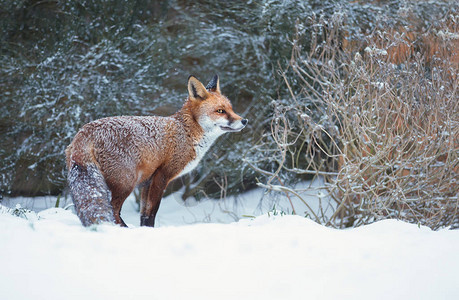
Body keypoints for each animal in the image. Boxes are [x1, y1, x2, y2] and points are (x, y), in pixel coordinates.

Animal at [65, 75, 248, 227]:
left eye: (231, 109)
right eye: (220, 111)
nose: (244, 121)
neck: (186, 132)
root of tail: (84, 131)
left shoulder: (147, 182)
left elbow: (144, 215)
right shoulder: (161, 176)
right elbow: (151, 213)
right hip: (125, 183)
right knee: (114, 211)